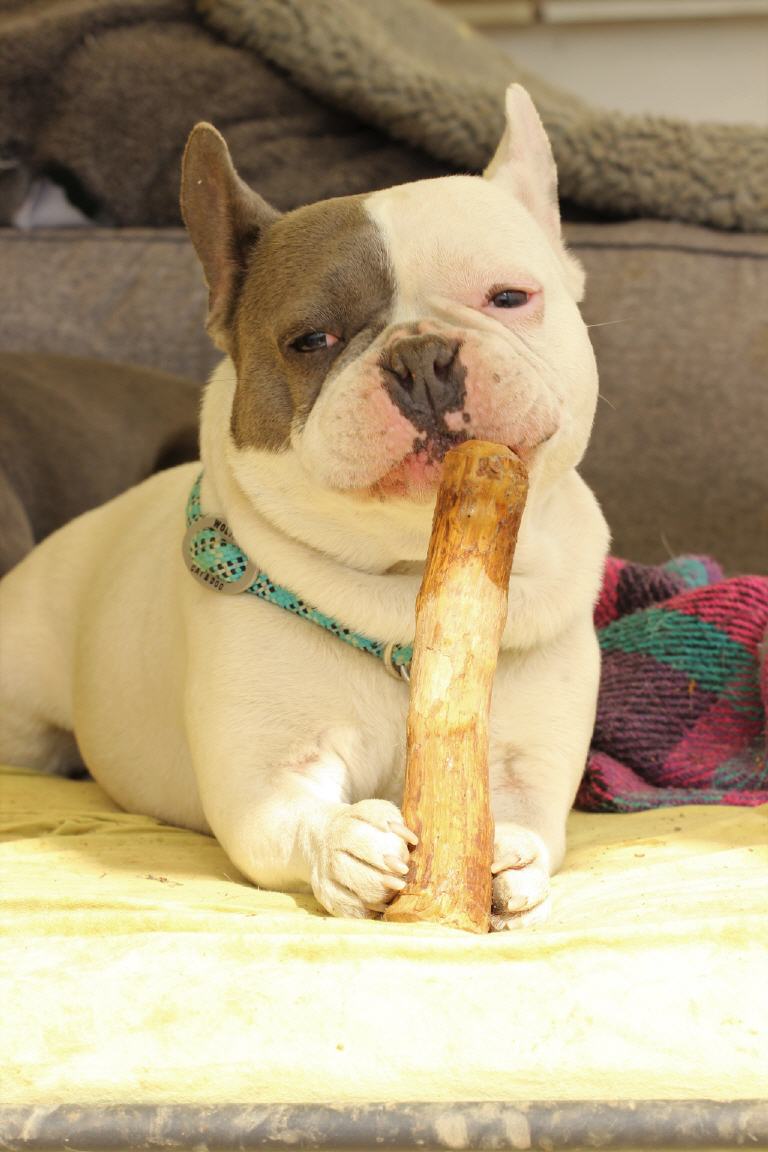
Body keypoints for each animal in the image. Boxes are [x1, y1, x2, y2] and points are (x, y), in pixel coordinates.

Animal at [0, 85, 609, 930]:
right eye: (310, 339)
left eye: (511, 298)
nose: (421, 357)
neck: (407, 583)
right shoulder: (267, 775)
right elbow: (293, 817)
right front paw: (346, 845)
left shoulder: (525, 764)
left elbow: (525, 819)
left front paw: (510, 856)